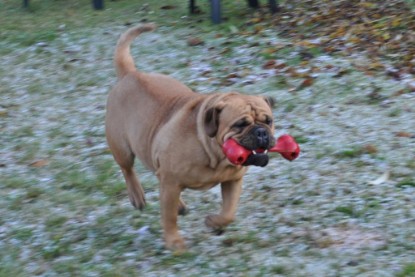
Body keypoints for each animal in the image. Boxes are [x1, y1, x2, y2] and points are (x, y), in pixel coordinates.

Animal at [105, 24, 276, 250]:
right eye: (240, 124)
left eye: (268, 121)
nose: (261, 132)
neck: (214, 155)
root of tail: (129, 74)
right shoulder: (171, 182)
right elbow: (168, 218)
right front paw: (174, 242)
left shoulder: (233, 180)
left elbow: (229, 211)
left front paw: (214, 222)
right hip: (122, 147)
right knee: (128, 169)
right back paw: (137, 195)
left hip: (151, 148)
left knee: (155, 173)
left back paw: (179, 205)